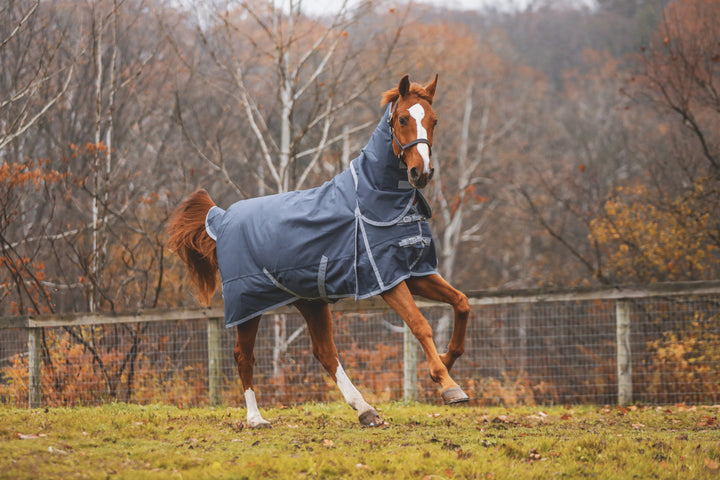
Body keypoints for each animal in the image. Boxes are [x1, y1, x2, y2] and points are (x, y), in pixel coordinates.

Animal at [169, 75, 472, 428]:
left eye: (434, 120)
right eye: (402, 119)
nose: (420, 173)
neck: (376, 200)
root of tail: (222, 218)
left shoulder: (414, 273)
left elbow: (462, 303)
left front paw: (448, 360)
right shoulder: (386, 280)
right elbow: (420, 325)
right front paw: (448, 384)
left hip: (310, 302)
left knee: (325, 352)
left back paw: (365, 410)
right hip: (247, 306)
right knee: (244, 356)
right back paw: (256, 419)